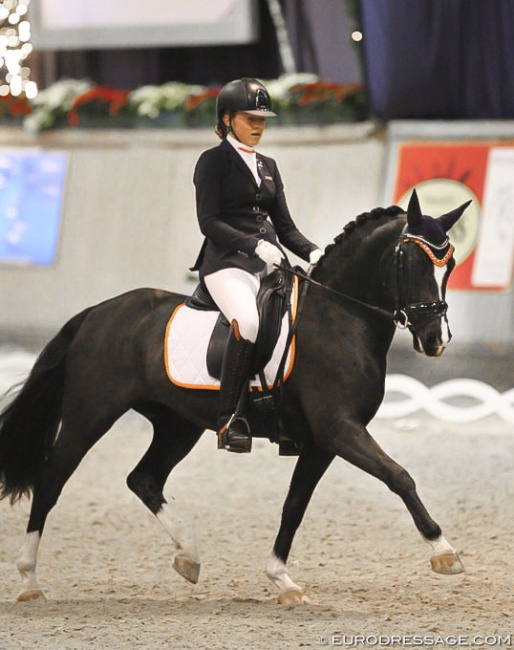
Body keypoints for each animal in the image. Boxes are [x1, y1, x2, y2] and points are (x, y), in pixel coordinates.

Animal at [0, 189, 468, 604]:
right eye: (411, 261)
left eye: (450, 265)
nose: (436, 340)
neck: (340, 317)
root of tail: (98, 312)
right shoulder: (339, 429)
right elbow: (398, 475)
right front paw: (444, 551)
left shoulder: (322, 442)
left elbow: (294, 505)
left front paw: (282, 581)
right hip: (89, 414)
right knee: (51, 481)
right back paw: (30, 582)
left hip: (177, 424)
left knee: (143, 478)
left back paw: (188, 555)